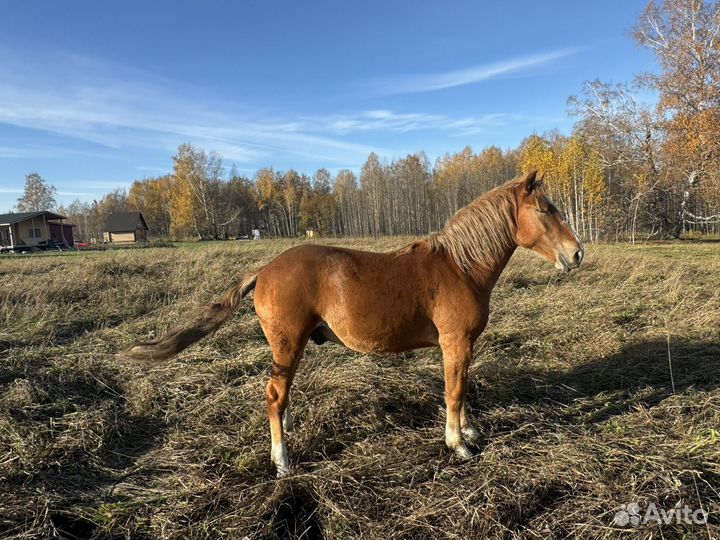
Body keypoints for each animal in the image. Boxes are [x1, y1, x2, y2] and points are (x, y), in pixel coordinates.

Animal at [124, 170, 584, 477]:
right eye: (546, 210)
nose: (577, 254)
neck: (459, 266)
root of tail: (265, 269)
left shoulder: (463, 346)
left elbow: (463, 389)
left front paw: (469, 433)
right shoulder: (455, 342)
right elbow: (453, 393)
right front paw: (458, 445)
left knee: (280, 397)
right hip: (287, 345)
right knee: (274, 394)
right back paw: (283, 461)